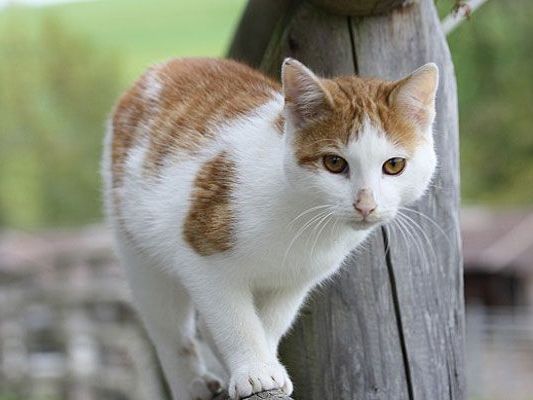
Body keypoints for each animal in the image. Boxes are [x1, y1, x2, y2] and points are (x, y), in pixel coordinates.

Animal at [102, 57, 438, 400]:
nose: (366, 204)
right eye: (334, 163)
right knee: (168, 330)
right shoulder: (202, 256)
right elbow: (235, 320)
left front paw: (266, 362)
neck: (303, 217)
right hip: (137, 246)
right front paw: (255, 370)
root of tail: (168, 64)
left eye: (394, 165)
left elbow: (270, 323)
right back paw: (191, 384)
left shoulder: (295, 280)